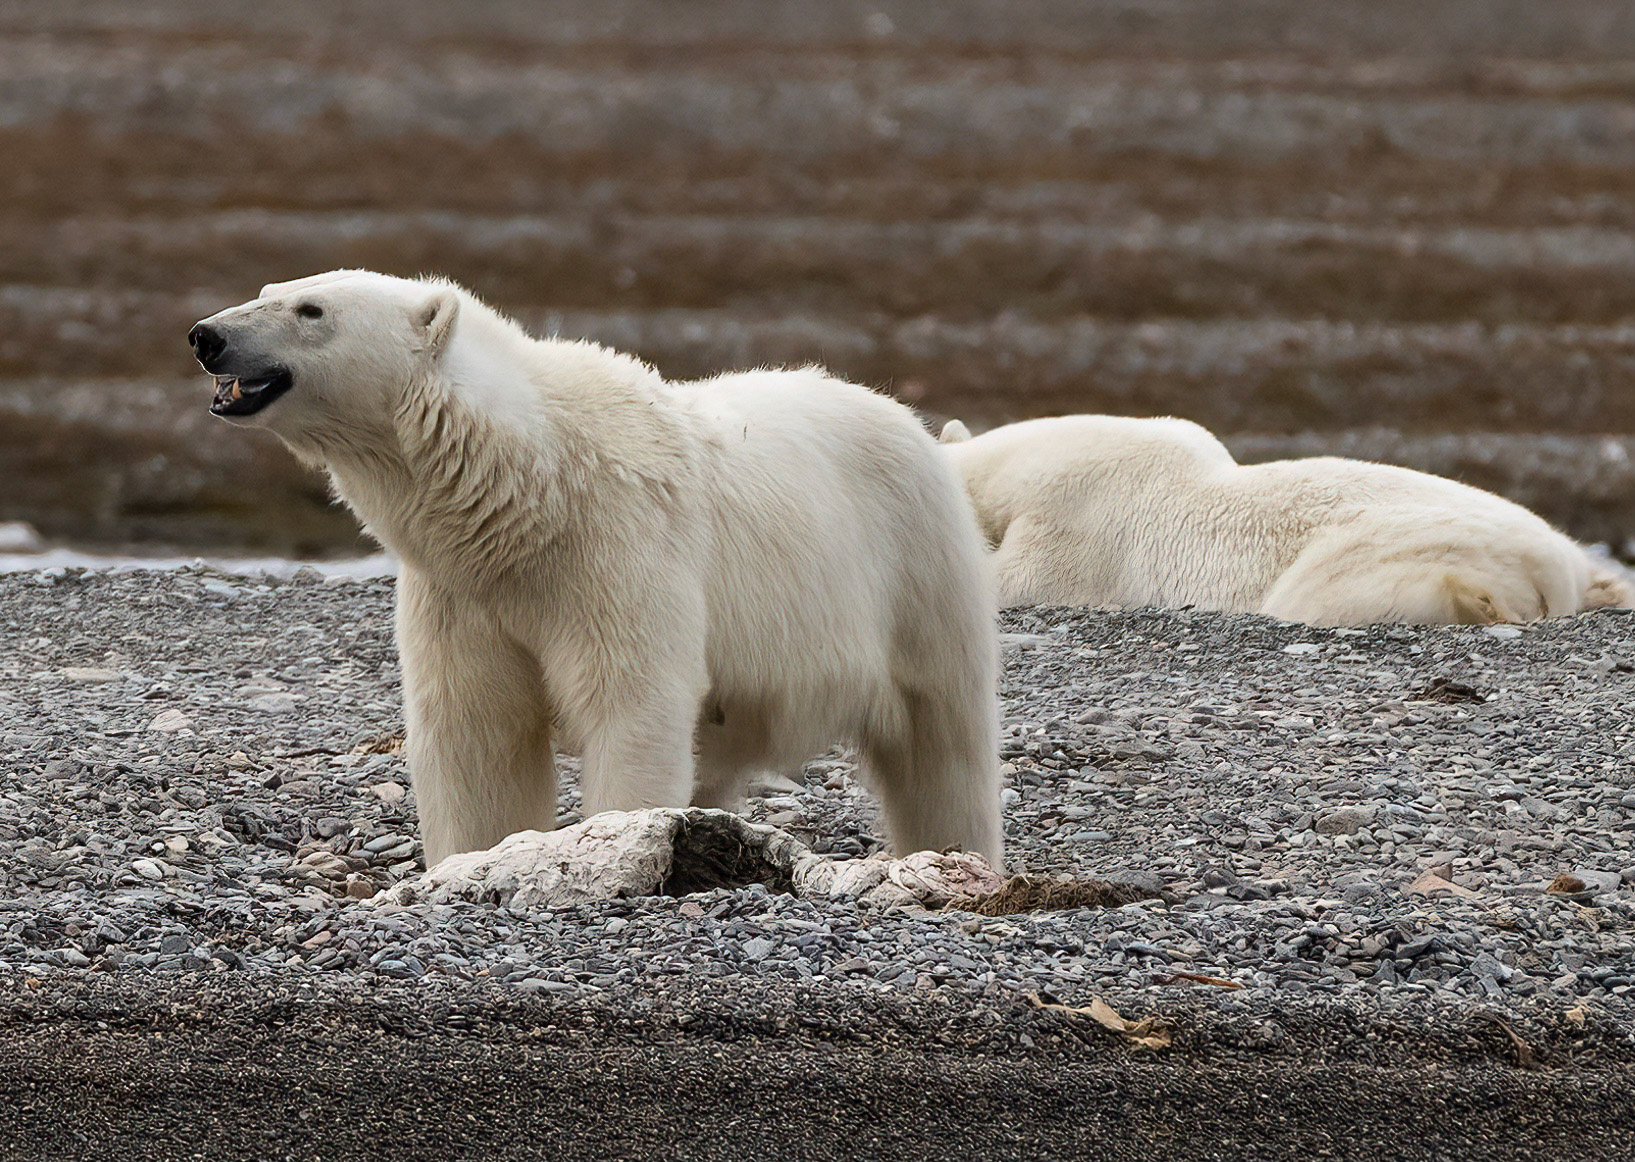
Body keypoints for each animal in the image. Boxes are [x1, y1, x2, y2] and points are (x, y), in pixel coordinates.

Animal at [189, 270, 1003, 867]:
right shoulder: (462, 589)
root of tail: (910, 419)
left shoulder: (618, 549)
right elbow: (474, 728)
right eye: (268, 287)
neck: (529, 489)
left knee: (943, 742)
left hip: (915, 569)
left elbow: (631, 701)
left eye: (311, 308)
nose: (207, 336)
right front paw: (471, 858)